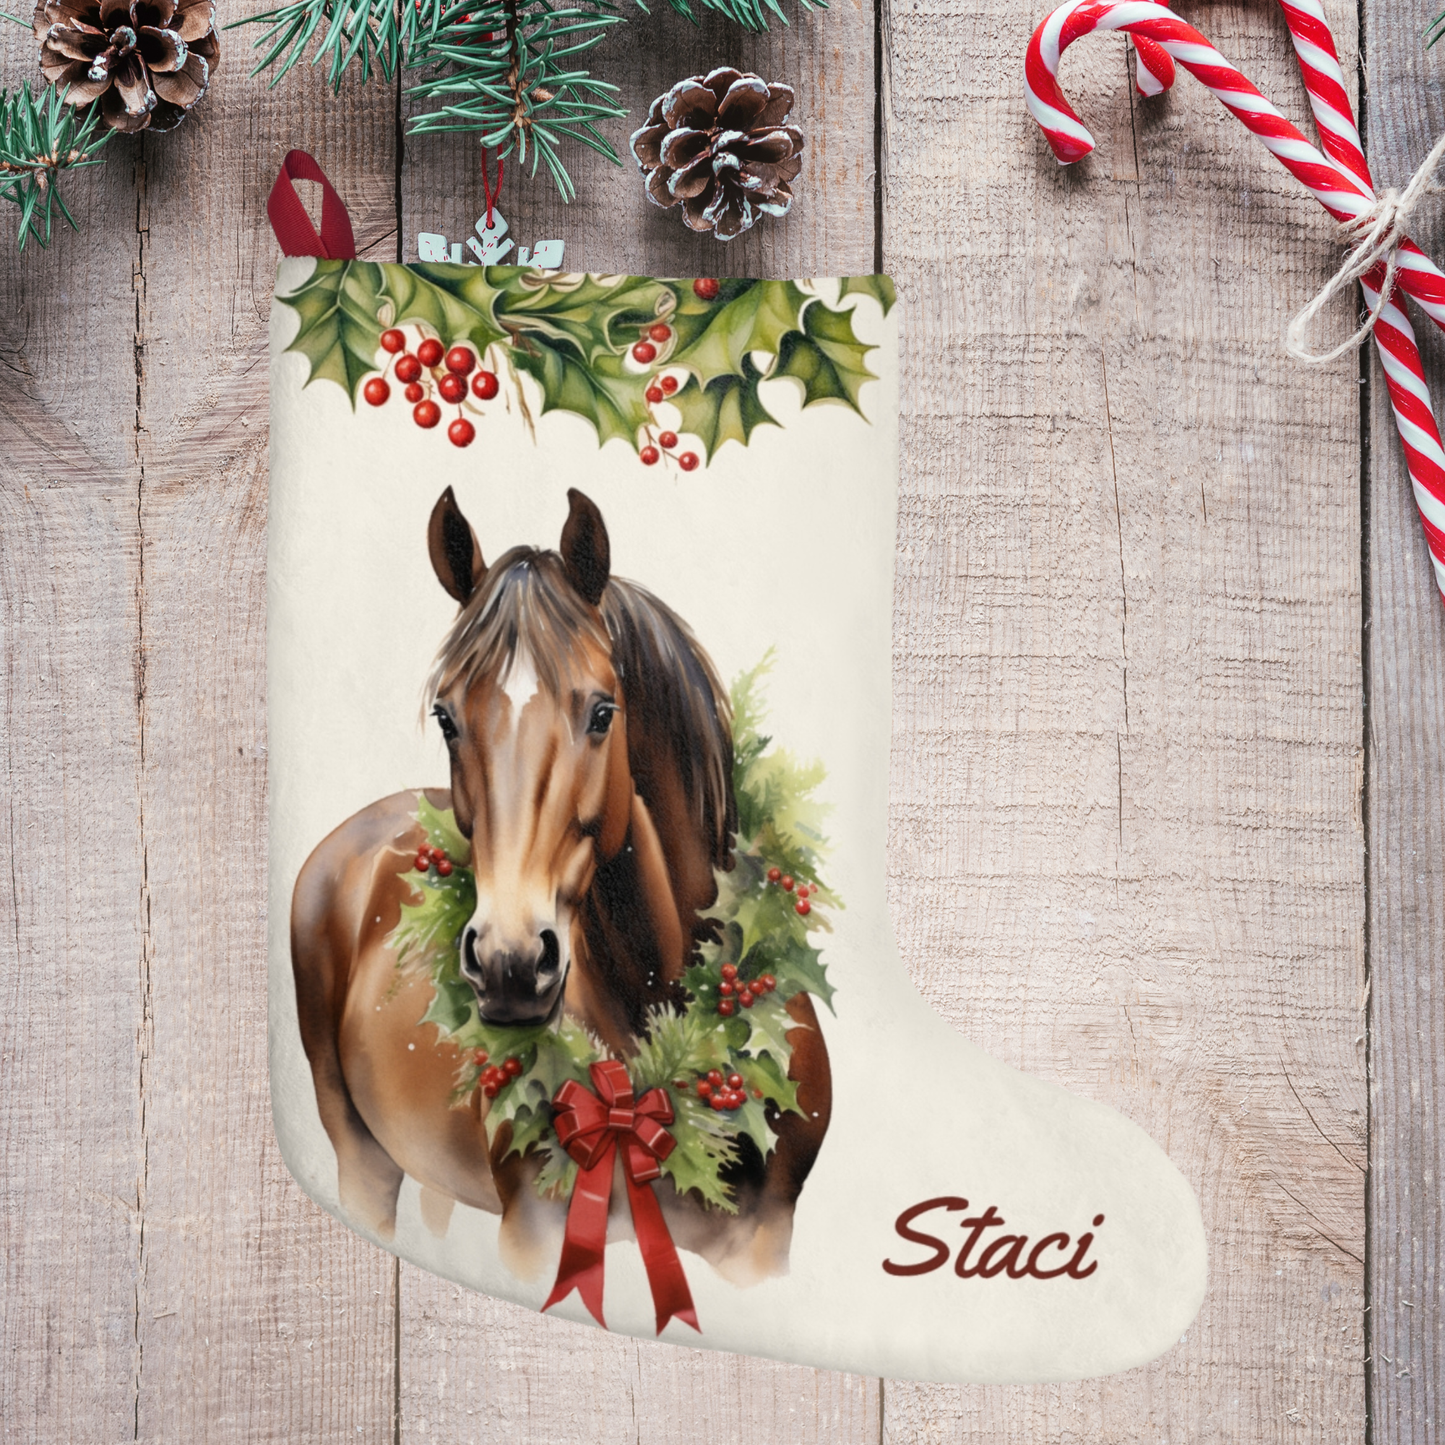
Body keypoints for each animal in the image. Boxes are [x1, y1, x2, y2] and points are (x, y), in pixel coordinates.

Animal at [290, 486, 832, 1287]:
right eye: (446, 716)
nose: (509, 963)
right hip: (361, 1157)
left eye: (602, 711)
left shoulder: (764, 1243)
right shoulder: (534, 1233)